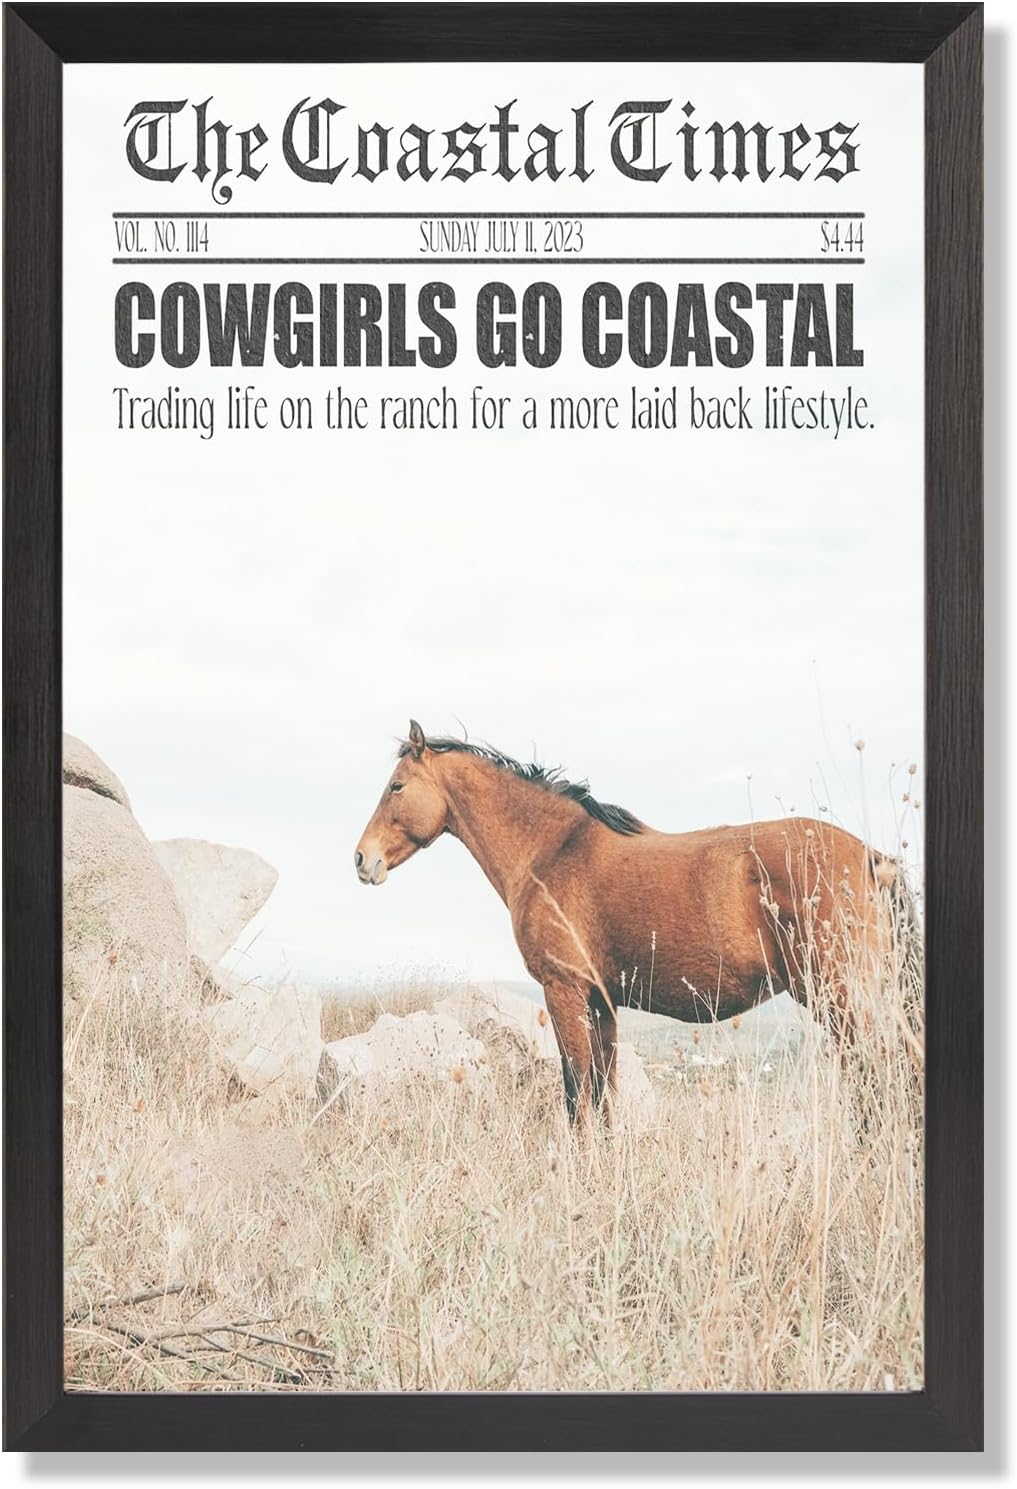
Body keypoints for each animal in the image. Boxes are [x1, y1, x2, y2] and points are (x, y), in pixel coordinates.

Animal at [354, 721, 912, 1126]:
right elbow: (603, 1096)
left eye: (397, 786)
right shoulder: (601, 1003)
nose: (363, 859)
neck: (553, 849)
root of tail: (870, 858)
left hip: (842, 997)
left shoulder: (564, 991)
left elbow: (577, 1093)